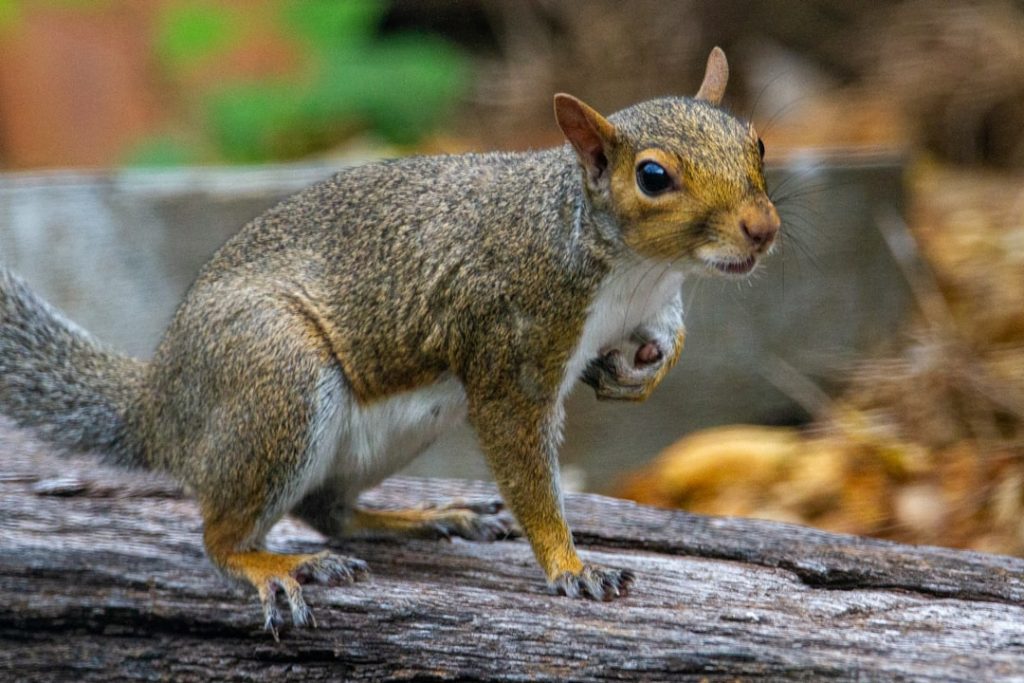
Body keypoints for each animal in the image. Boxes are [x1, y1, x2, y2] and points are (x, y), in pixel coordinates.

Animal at [0, 46, 770, 634]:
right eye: (653, 176)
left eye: (756, 141)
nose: (762, 228)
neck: (636, 269)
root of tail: (161, 403)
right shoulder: (509, 347)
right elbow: (525, 465)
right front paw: (570, 566)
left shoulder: (653, 304)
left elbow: (665, 339)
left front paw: (642, 370)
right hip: (277, 380)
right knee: (221, 534)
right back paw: (273, 564)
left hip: (394, 429)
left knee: (329, 508)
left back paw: (421, 517)